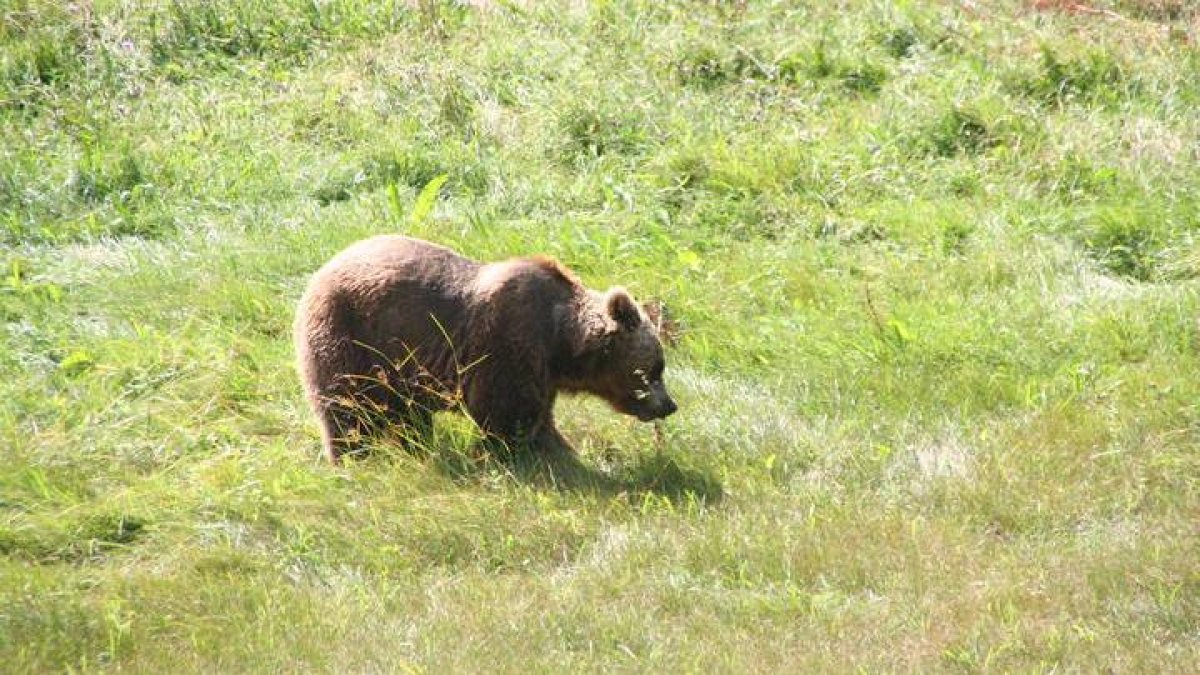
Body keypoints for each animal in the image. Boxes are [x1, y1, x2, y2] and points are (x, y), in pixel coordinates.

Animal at [294, 235, 677, 463]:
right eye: (655, 368)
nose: (669, 405)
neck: (560, 342)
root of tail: (319, 272)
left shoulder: (542, 371)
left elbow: (539, 415)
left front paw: (561, 451)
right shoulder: (508, 342)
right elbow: (506, 412)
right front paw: (522, 454)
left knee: (407, 415)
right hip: (351, 338)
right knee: (347, 408)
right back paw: (353, 455)